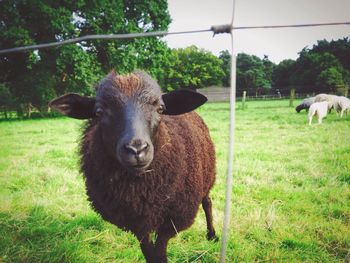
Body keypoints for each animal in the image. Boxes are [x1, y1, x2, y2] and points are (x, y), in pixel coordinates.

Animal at [50, 70, 216, 263]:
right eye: (99, 112)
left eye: (160, 109)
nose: (137, 149)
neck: (139, 192)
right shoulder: (136, 222)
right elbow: (148, 251)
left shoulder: (173, 219)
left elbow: (160, 250)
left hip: (207, 176)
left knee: (207, 203)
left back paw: (212, 235)